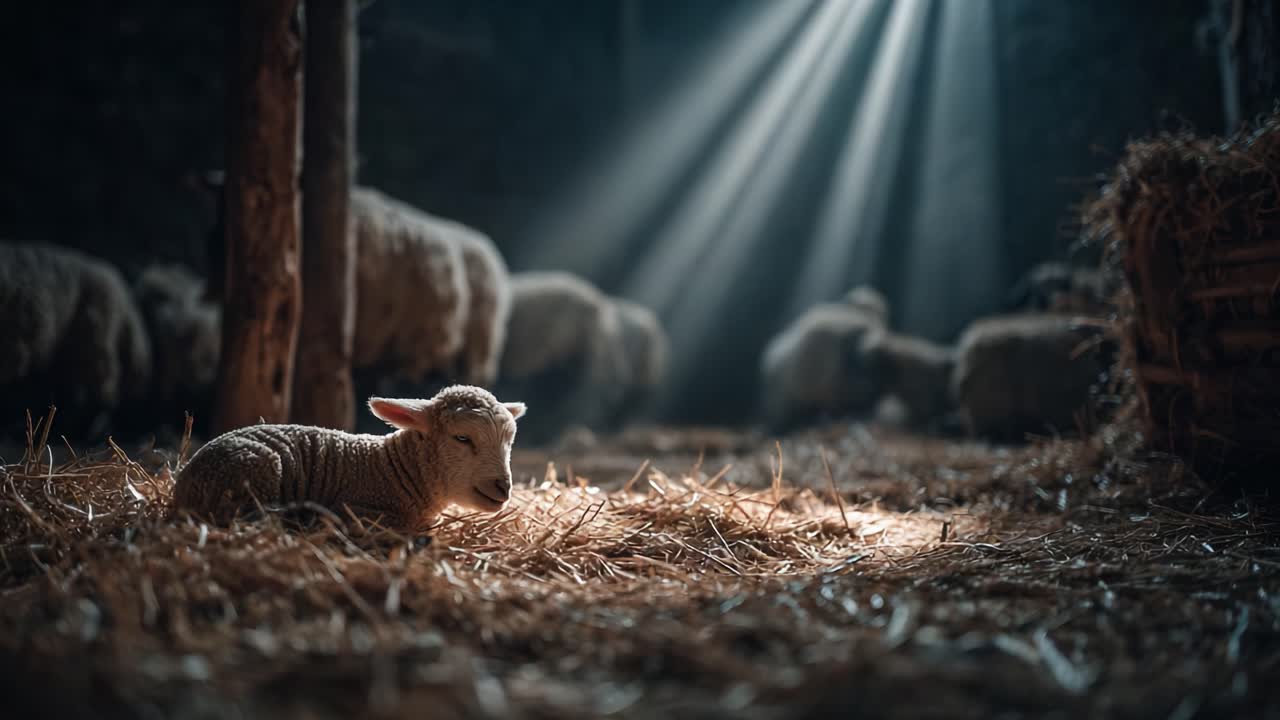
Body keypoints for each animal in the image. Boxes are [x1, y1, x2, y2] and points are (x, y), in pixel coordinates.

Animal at [172, 385, 527, 533]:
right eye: (462, 438)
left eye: (510, 440)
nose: (503, 487)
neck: (395, 469)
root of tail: (182, 486)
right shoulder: (361, 512)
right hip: (256, 473)